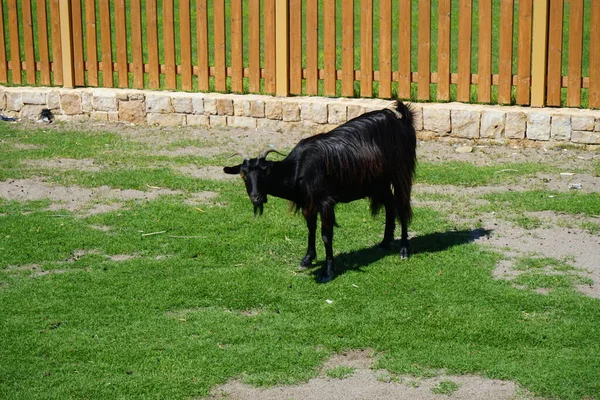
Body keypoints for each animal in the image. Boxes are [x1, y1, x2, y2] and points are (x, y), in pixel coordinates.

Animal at [223, 99, 414, 282]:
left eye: (265, 172)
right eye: (243, 174)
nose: (256, 198)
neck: (298, 169)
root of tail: (399, 119)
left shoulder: (325, 201)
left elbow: (326, 234)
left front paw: (327, 272)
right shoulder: (308, 202)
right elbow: (310, 228)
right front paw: (307, 259)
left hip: (400, 173)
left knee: (402, 206)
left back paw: (404, 250)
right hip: (379, 183)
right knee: (390, 205)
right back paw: (385, 242)